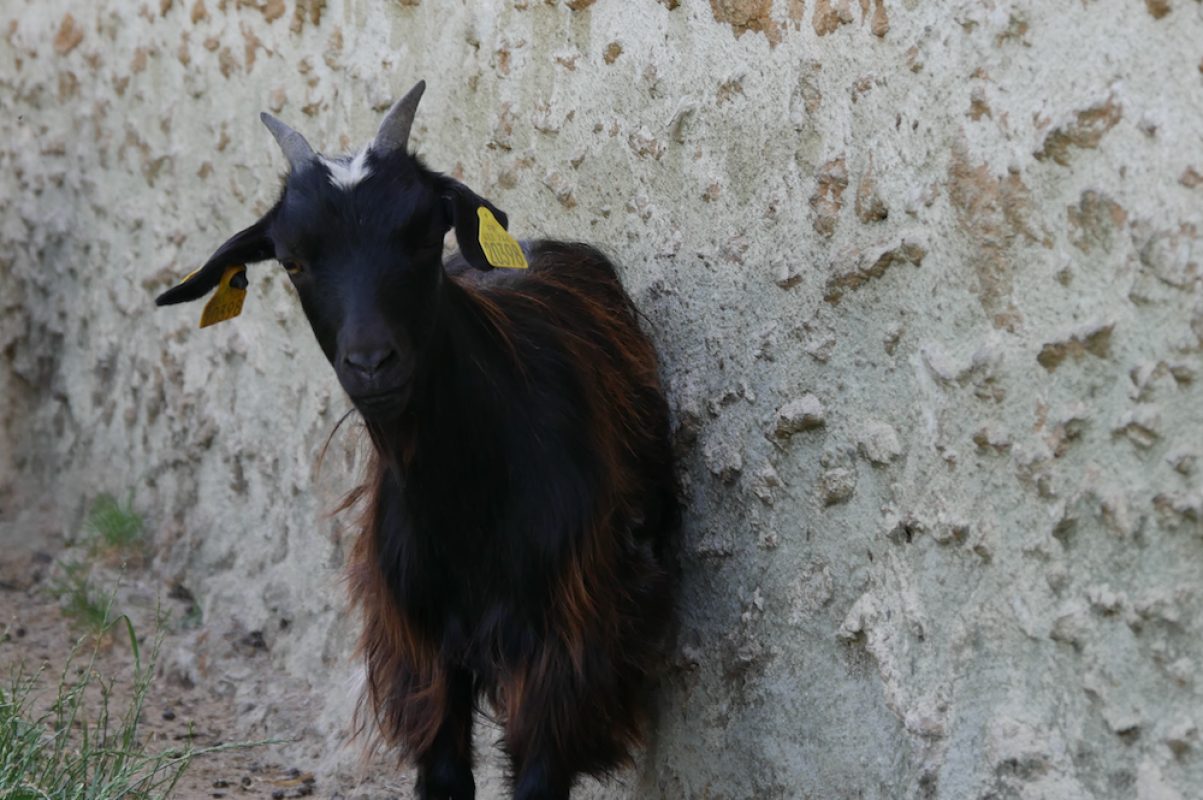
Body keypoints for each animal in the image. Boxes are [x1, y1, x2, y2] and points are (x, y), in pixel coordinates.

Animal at [156, 81, 679, 800]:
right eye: (292, 261)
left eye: (424, 234)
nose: (372, 363)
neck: (467, 503)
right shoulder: (420, 652)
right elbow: (445, 775)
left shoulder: (564, 647)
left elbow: (538, 777)